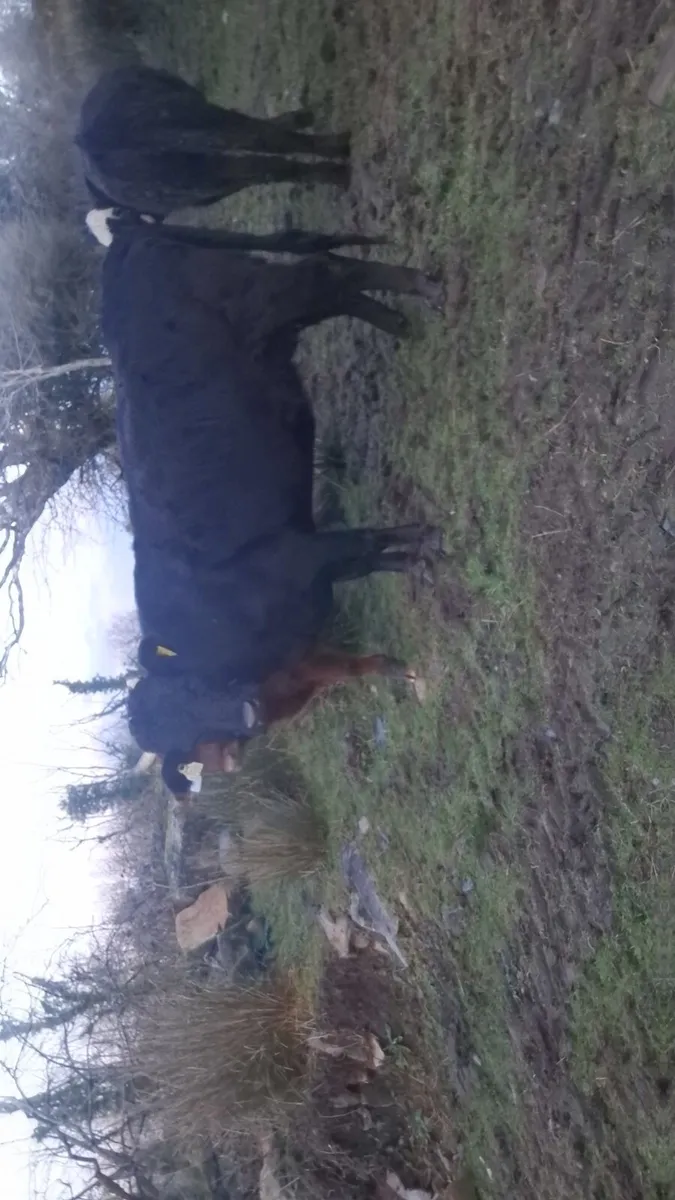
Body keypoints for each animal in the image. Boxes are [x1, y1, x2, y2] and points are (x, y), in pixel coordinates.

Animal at [95, 215, 444, 795]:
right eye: (190, 738)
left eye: (192, 691)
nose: (246, 715)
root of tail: (126, 240)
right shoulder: (313, 573)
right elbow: (368, 558)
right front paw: (414, 561)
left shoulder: (300, 554)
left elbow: (367, 541)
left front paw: (426, 542)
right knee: (335, 280)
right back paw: (402, 320)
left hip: (263, 296)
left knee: (326, 272)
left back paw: (422, 289)